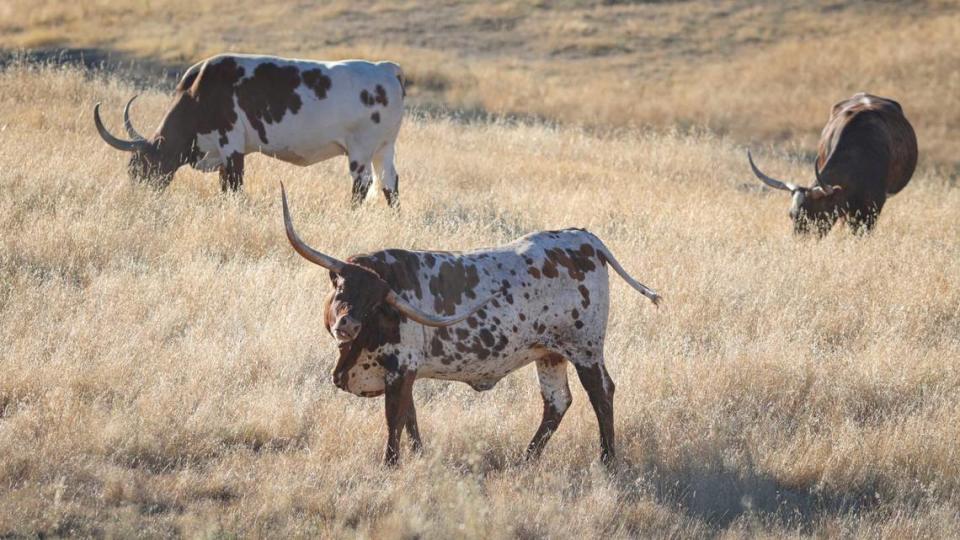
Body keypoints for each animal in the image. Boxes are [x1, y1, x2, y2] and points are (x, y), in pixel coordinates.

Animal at [99, 52, 406, 208]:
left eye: (140, 167)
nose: (137, 198)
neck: (199, 93)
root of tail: (386, 68)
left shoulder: (231, 143)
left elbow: (234, 184)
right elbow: (225, 183)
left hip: (361, 150)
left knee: (362, 184)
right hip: (384, 148)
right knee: (389, 183)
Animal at [282, 185, 664, 464]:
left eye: (374, 304)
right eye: (341, 287)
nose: (346, 324)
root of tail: (584, 237)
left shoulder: (400, 369)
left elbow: (394, 422)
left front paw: (391, 465)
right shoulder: (406, 373)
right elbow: (410, 418)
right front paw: (421, 457)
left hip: (585, 348)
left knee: (601, 393)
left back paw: (607, 460)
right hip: (550, 354)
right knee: (557, 402)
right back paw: (526, 460)